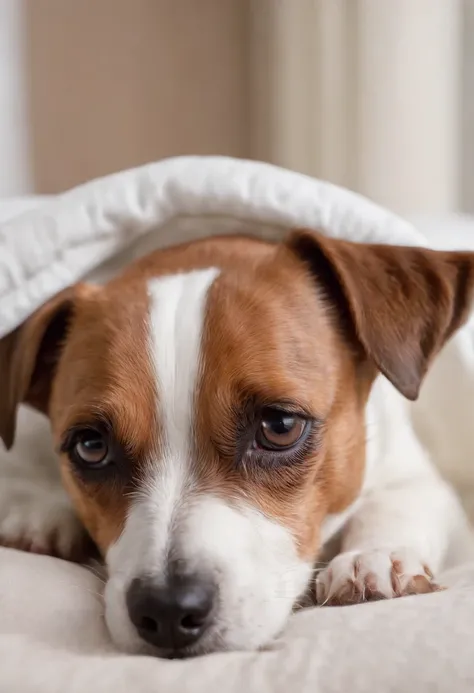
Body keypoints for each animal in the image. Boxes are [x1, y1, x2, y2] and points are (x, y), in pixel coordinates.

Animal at [0, 230, 474, 656]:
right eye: (91, 446)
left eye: (279, 425)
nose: (168, 610)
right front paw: (41, 513)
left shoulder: (416, 474)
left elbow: (402, 499)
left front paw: (376, 554)